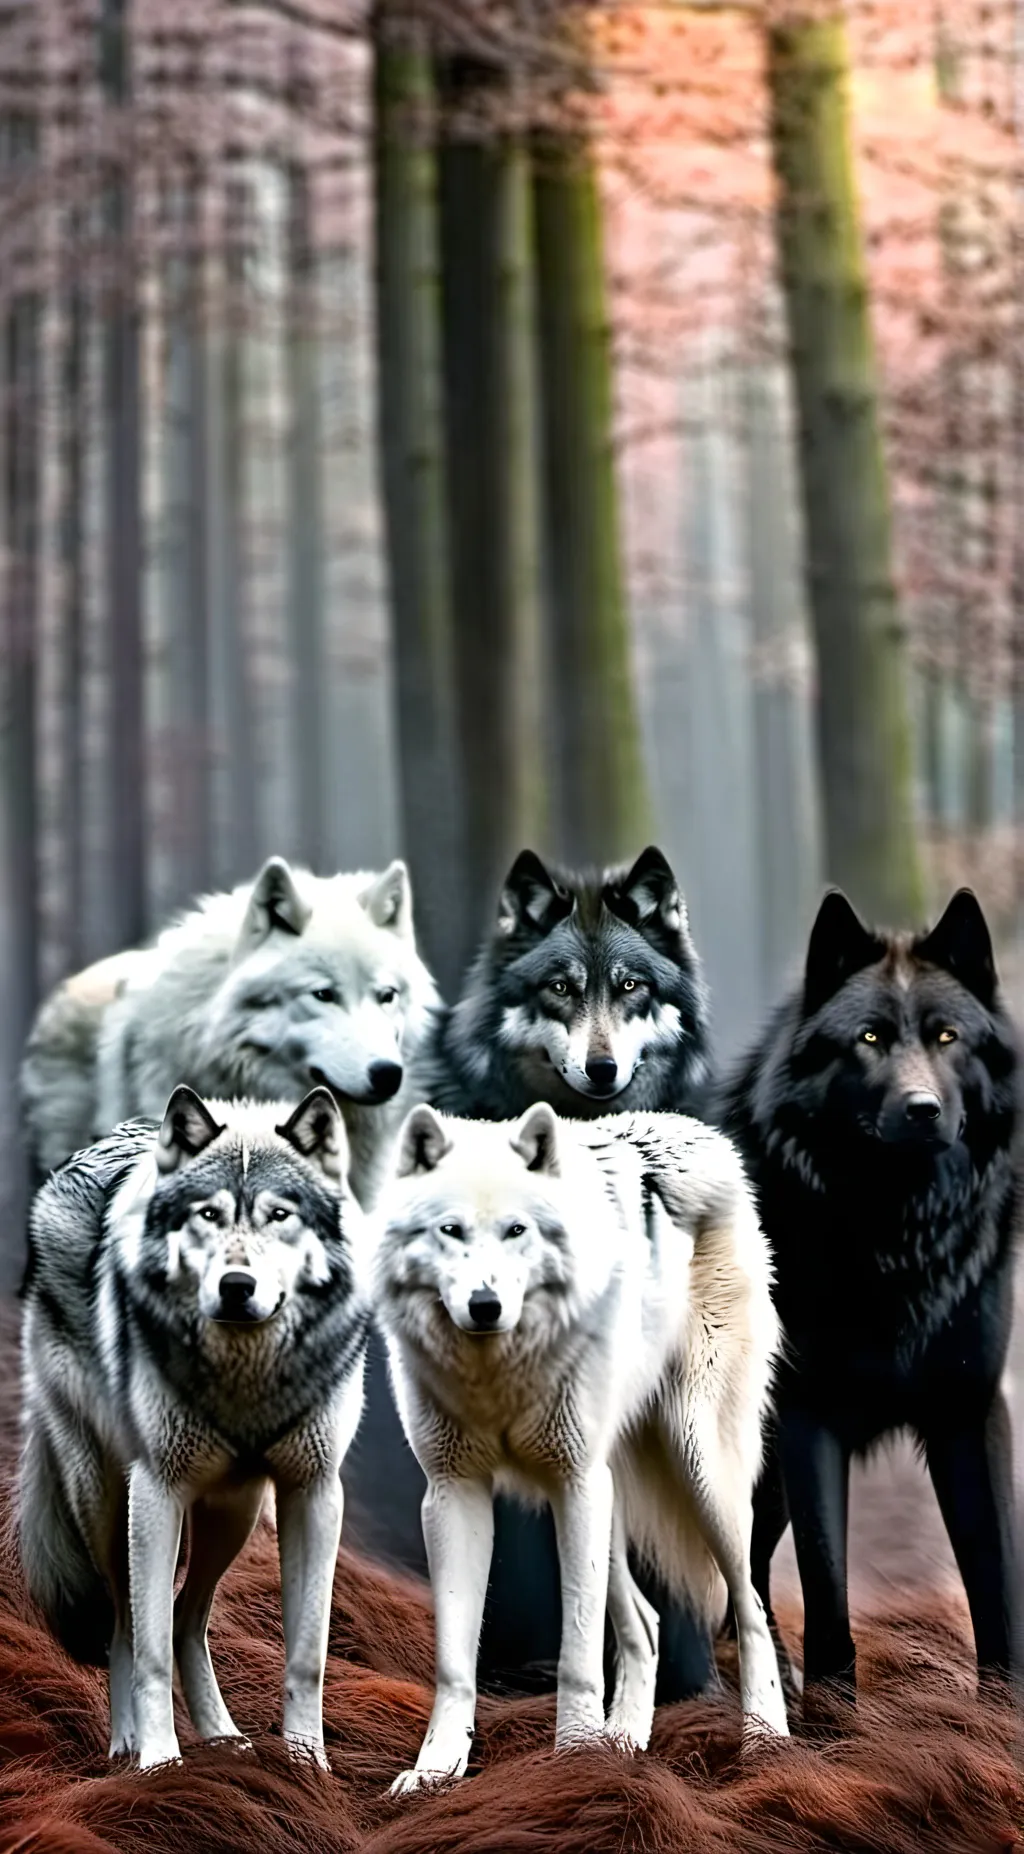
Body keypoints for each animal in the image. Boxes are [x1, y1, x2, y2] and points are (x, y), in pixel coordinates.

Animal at [19, 1084, 368, 1770]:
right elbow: (148, 1649)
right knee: (126, 1624)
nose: (236, 1287)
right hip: (107, 1505)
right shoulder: (157, 1491)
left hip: (232, 1513)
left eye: (279, 1216)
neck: (245, 1373)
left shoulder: (315, 1493)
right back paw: (127, 1748)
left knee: (186, 1617)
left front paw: (306, 1765)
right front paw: (160, 1763)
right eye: (208, 1215)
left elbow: (307, 1654)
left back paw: (223, 1737)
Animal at [372, 1101, 788, 1792]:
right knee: (646, 1624)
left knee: (750, 1606)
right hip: (596, 1498)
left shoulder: (576, 1484)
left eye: (517, 1230)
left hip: (692, 1471)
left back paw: (764, 1742)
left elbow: (578, 1654)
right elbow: (456, 1662)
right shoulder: (454, 1493)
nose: (485, 1305)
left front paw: (573, 1761)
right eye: (450, 1231)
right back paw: (625, 1741)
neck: (498, 1371)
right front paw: (436, 1770)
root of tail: (695, 1130)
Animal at [720, 887, 1022, 1708]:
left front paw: (999, 1722)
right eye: (868, 1039)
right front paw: (832, 1728)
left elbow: (995, 1583)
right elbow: (828, 1593)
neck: (896, 1241)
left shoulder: (969, 1412)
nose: (922, 1108)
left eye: (947, 1036)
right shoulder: (808, 1419)